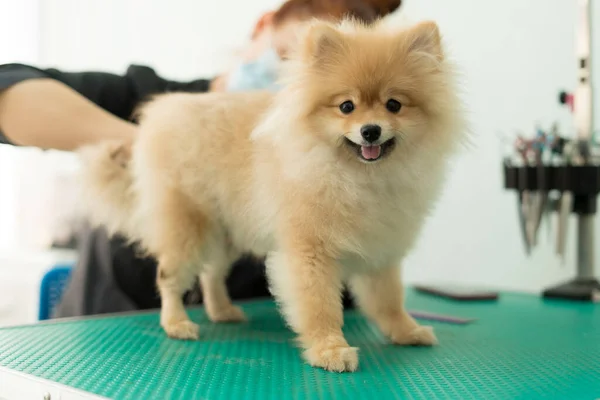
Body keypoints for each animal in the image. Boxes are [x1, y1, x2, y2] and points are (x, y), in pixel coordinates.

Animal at [77, 19, 466, 372]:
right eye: (346, 107)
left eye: (394, 105)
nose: (370, 131)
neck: (359, 177)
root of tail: (158, 116)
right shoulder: (310, 251)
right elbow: (320, 305)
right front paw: (329, 350)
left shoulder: (380, 250)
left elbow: (389, 300)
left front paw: (406, 331)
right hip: (187, 225)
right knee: (170, 277)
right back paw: (176, 323)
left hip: (227, 231)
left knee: (211, 275)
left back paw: (222, 311)